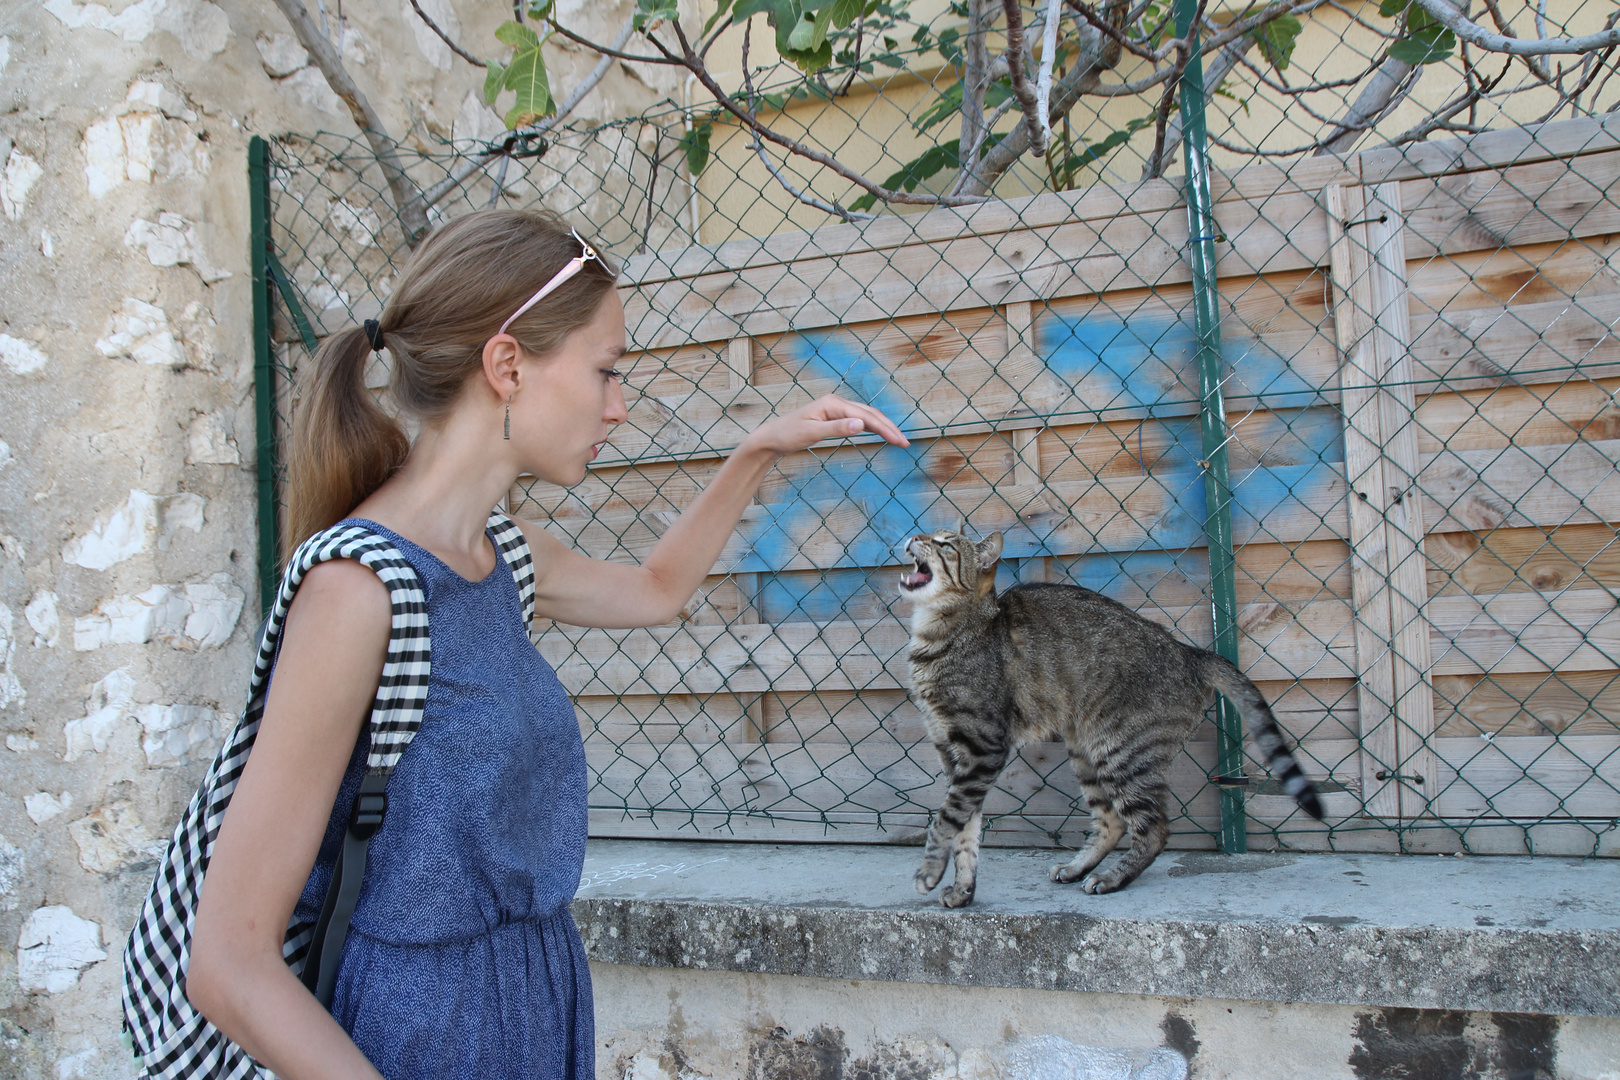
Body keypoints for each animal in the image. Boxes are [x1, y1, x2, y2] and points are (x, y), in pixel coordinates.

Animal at [907, 527, 1321, 906]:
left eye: (945, 544)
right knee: (1113, 820)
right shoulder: (954, 754)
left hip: (1121, 752)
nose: (914, 535)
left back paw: (1113, 878)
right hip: (1086, 752)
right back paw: (1079, 868)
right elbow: (966, 829)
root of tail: (1189, 652)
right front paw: (963, 890)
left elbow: (947, 817)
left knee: (1154, 828)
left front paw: (928, 871)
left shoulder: (984, 748)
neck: (939, 633)